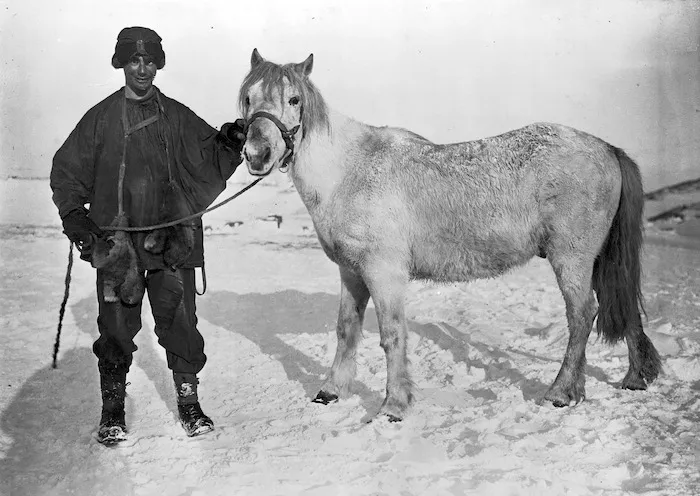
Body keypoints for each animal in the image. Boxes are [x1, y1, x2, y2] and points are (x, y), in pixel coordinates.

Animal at [237, 48, 662, 421]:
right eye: (247, 98)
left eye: (294, 99)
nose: (256, 154)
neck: (348, 172)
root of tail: (606, 148)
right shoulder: (352, 273)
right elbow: (346, 330)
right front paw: (331, 391)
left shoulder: (384, 274)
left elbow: (392, 335)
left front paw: (393, 407)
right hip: (600, 259)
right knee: (623, 306)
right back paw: (635, 378)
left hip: (572, 259)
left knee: (582, 316)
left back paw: (560, 392)